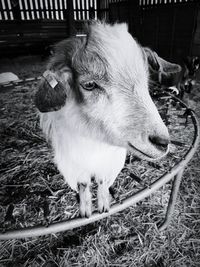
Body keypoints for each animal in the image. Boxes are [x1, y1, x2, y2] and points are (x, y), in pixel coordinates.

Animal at [35, 21, 170, 218]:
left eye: (146, 82)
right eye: (89, 84)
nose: (162, 142)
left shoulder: (110, 162)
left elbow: (102, 182)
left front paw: (104, 205)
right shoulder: (74, 165)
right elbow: (84, 184)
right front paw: (85, 210)